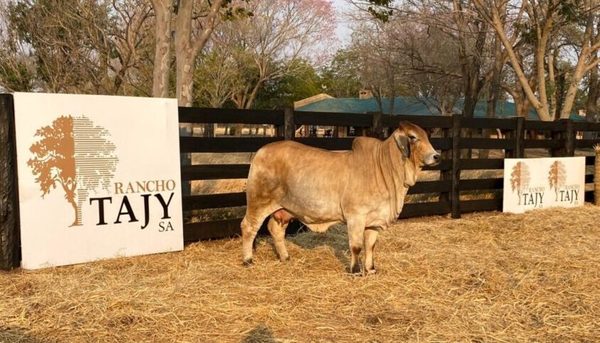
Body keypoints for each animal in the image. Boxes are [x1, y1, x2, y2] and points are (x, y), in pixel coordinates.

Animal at [240, 122, 440, 276]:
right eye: (413, 137)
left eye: (427, 136)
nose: (436, 156)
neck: (384, 167)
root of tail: (261, 151)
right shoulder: (356, 217)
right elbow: (356, 246)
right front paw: (355, 271)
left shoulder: (374, 221)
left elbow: (371, 246)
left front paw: (371, 269)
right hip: (258, 202)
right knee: (249, 227)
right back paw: (248, 260)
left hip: (283, 209)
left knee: (275, 229)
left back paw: (285, 257)